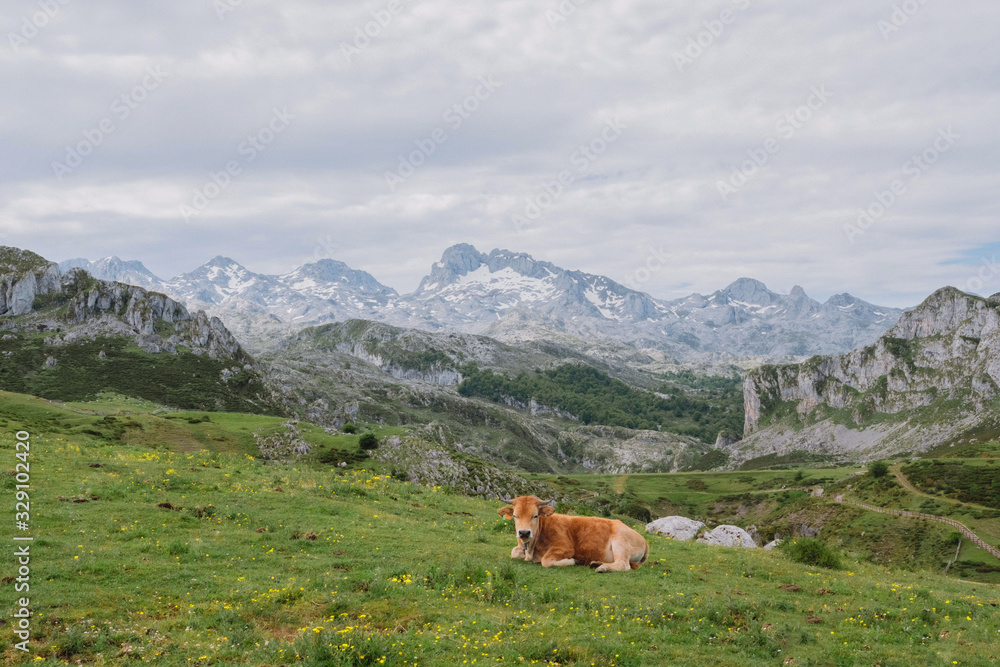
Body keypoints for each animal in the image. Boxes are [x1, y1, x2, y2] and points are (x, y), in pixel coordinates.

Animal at [497, 495, 648, 573]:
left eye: (535, 515)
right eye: (515, 516)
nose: (524, 532)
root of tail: (644, 541)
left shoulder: (565, 547)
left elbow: (546, 561)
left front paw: (572, 561)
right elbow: (514, 552)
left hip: (620, 540)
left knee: (623, 564)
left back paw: (602, 568)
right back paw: (596, 563)